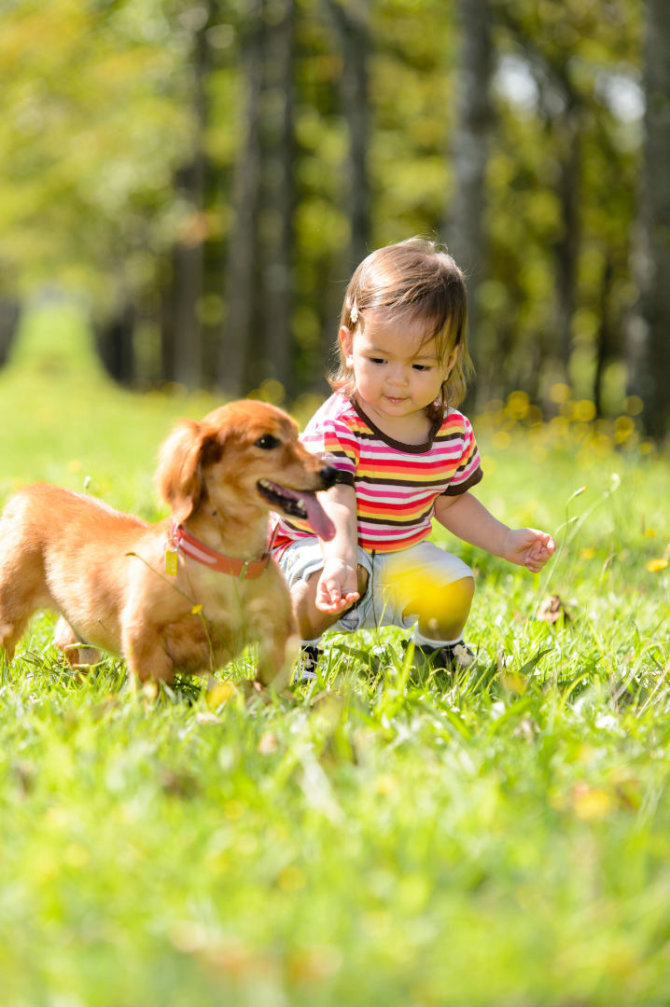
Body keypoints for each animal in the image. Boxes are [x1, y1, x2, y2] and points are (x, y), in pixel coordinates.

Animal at [0, 398, 334, 684]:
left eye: (298, 437)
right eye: (266, 441)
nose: (333, 472)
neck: (225, 561)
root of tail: (29, 491)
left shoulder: (278, 632)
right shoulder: (143, 632)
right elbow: (153, 684)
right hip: (9, 608)